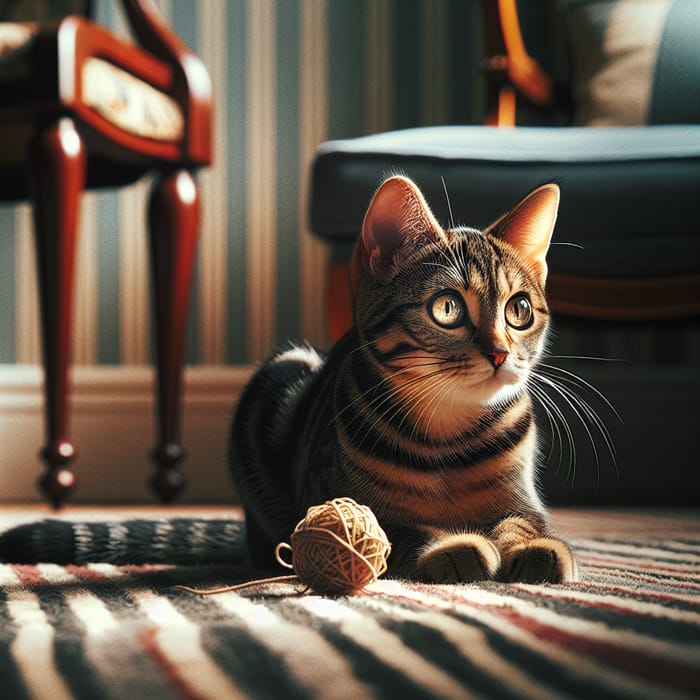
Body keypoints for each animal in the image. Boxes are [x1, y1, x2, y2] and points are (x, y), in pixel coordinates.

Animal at [230, 175, 576, 584]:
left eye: (519, 310)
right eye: (447, 308)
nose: (500, 353)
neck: (450, 439)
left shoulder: (524, 500)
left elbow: (521, 523)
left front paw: (535, 547)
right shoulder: (322, 498)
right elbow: (393, 530)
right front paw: (455, 546)